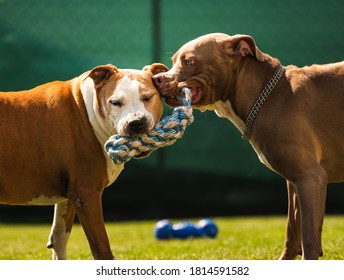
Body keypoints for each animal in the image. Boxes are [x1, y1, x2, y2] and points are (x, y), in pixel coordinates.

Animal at [0, 62, 168, 260]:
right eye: (115, 102)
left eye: (147, 97)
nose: (136, 122)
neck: (88, 112)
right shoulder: (87, 194)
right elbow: (102, 249)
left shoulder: (69, 196)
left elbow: (59, 238)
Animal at [153, 33, 344, 260]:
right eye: (173, 61)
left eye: (189, 61)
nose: (156, 78)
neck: (267, 94)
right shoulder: (295, 182)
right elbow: (292, 228)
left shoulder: (310, 177)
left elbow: (308, 235)